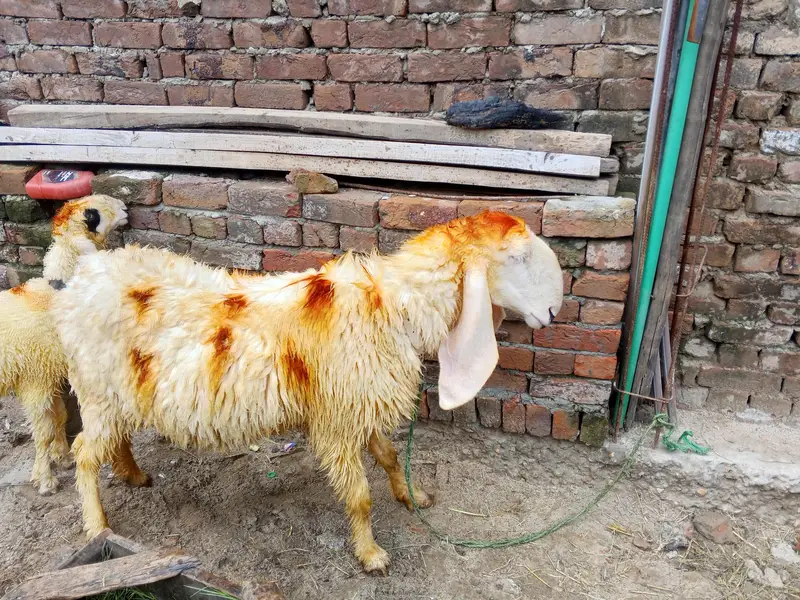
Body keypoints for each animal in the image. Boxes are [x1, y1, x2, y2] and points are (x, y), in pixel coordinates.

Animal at [0, 194, 128, 495]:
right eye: (92, 215)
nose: (125, 208)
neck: (53, 295)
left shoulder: (51, 375)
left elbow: (58, 418)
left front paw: (62, 456)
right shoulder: (35, 381)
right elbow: (43, 432)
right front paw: (45, 479)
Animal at [54, 210, 564, 573]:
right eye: (517, 258)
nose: (554, 313)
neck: (389, 305)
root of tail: (86, 274)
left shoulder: (360, 400)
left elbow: (389, 457)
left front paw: (412, 496)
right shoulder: (338, 418)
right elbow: (359, 495)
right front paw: (371, 555)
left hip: (118, 394)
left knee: (114, 441)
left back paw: (133, 474)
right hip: (97, 390)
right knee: (84, 455)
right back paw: (97, 526)